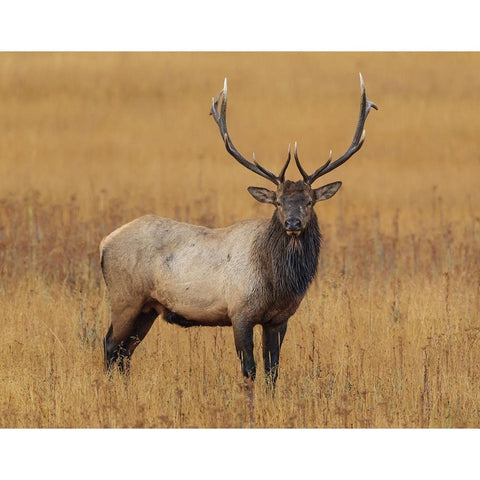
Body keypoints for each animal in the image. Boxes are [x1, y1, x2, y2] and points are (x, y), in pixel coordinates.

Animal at [101, 73, 376, 386]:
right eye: (278, 202)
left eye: (309, 201)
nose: (293, 223)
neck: (277, 283)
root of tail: (104, 243)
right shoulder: (240, 311)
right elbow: (250, 369)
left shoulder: (279, 318)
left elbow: (272, 370)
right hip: (125, 298)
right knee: (110, 345)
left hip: (147, 307)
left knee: (125, 352)